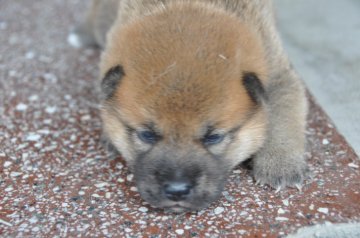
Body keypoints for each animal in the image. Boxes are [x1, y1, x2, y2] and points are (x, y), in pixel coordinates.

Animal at [69, 0, 306, 212]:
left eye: (214, 137)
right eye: (146, 135)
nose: (177, 190)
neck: (191, 6)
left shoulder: (278, 74)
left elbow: (283, 116)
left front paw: (281, 165)